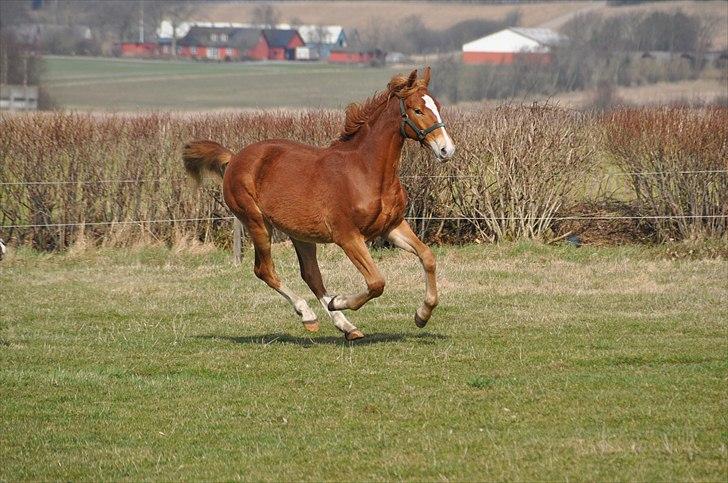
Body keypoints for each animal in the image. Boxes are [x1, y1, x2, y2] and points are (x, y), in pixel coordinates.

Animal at [182, 67, 456, 340]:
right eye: (417, 110)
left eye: (438, 106)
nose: (446, 150)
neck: (365, 171)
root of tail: (234, 158)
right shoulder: (348, 237)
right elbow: (376, 282)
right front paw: (339, 300)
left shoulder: (392, 226)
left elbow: (428, 257)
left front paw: (422, 315)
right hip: (256, 222)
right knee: (265, 270)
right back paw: (310, 314)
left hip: (301, 234)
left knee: (311, 275)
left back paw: (346, 326)